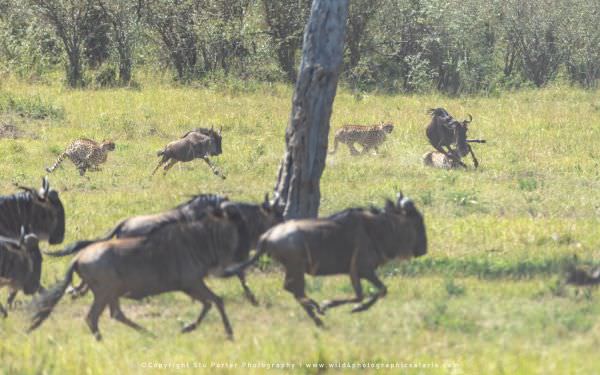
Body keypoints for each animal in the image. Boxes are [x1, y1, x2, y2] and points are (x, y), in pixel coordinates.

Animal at [29, 207, 250, 342]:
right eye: (237, 232)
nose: (245, 257)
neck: (200, 240)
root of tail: (77, 258)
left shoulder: (191, 285)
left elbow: (210, 303)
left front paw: (189, 327)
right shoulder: (192, 283)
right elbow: (216, 301)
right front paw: (228, 333)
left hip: (111, 293)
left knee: (115, 314)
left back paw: (148, 334)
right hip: (104, 293)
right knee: (93, 317)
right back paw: (104, 341)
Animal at [224, 195, 426, 328]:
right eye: (417, 221)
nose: (423, 250)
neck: (377, 227)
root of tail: (266, 237)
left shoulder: (356, 271)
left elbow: (371, 293)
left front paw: (348, 307)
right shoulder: (362, 269)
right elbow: (375, 292)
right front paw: (341, 306)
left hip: (294, 268)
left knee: (293, 290)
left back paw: (317, 315)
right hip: (296, 266)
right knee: (295, 290)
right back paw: (318, 315)